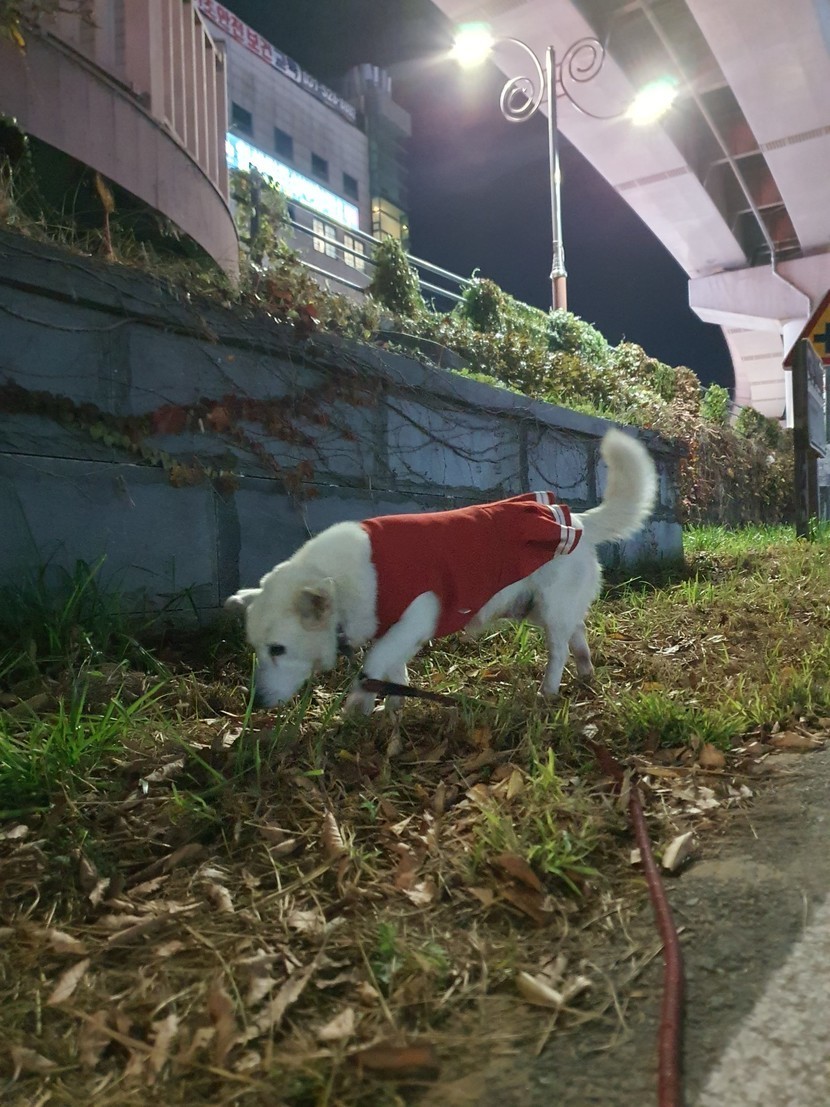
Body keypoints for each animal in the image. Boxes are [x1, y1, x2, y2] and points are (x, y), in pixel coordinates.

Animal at [225, 428, 657, 712]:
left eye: (278, 649)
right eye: (256, 649)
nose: (256, 703)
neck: (339, 579)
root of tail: (579, 521)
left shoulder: (416, 616)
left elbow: (374, 664)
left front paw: (359, 704)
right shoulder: (395, 631)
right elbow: (393, 673)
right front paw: (391, 713)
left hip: (549, 611)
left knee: (558, 651)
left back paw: (548, 691)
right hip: (539, 607)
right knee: (577, 635)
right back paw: (585, 671)